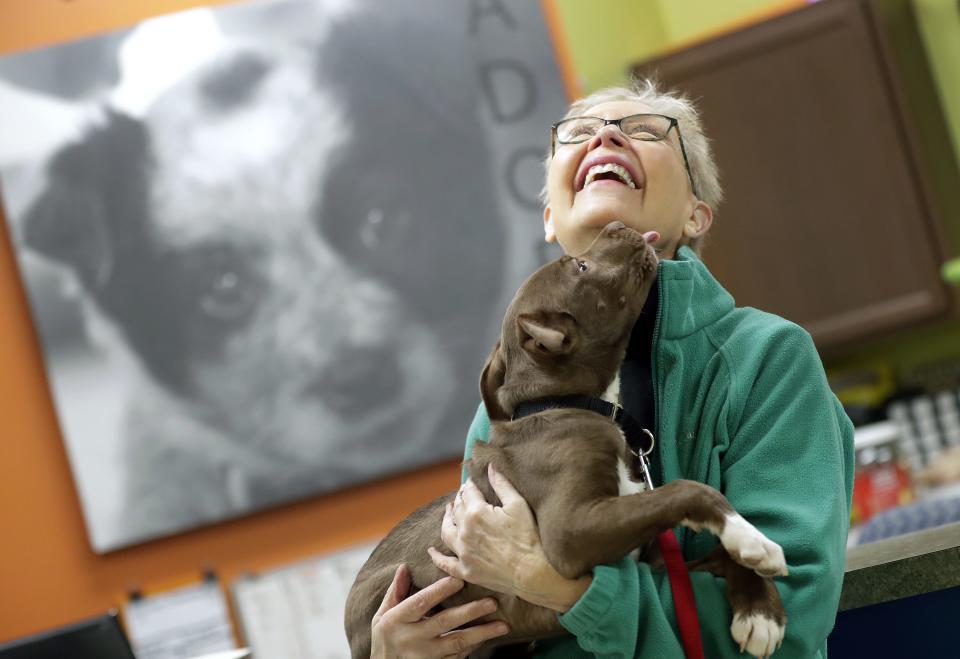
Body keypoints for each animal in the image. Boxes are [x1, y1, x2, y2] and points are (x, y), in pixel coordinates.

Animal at [344, 224, 788, 656]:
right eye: (581, 266)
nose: (616, 225)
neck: (569, 403)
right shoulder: (570, 531)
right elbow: (686, 489)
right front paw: (750, 537)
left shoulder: (650, 561)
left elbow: (708, 551)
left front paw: (761, 611)